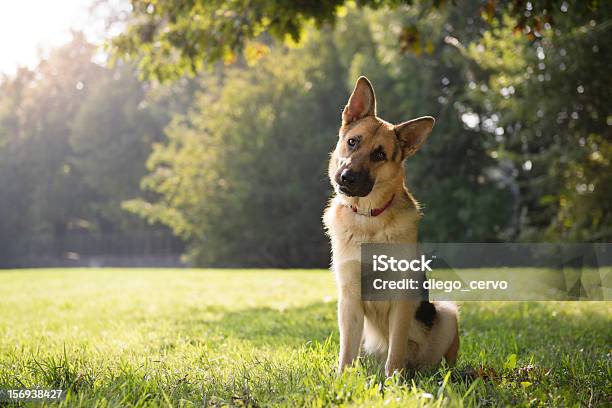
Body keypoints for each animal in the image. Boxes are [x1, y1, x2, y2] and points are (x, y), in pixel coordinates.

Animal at [326, 76, 460, 376]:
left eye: (379, 155)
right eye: (352, 142)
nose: (346, 177)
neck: (369, 218)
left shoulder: (401, 299)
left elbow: (396, 347)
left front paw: (394, 380)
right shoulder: (349, 299)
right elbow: (346, 352)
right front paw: (342, 379)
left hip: (446, 312)